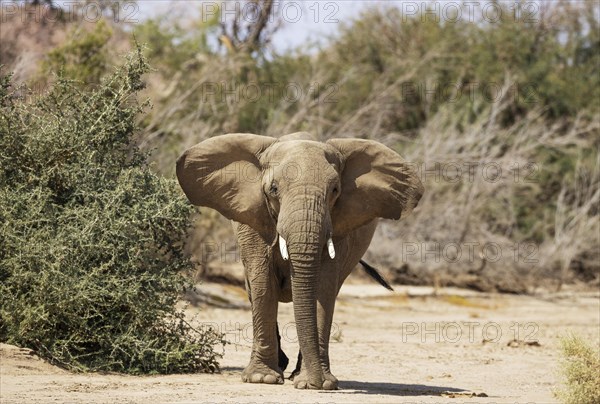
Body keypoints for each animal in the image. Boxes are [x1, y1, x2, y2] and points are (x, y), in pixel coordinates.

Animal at [176, 131, 424, 390]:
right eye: (273, 189)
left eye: (335, 190)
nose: (318, 383)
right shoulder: (253, 221)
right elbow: (263, 285)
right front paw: (263, 379)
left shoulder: (339, 228)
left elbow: (323, 289)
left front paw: (315, 383)